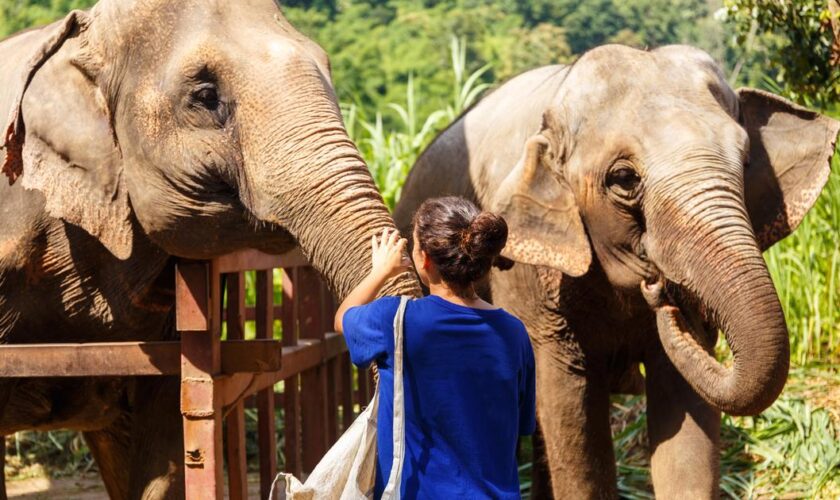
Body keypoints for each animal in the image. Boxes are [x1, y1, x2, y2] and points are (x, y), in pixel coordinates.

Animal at [396, 45, 840, 498]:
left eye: (747, 160)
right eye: (624, 179)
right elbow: (570, 411)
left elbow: (685, 413)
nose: (665, 295)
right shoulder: (528, 280)